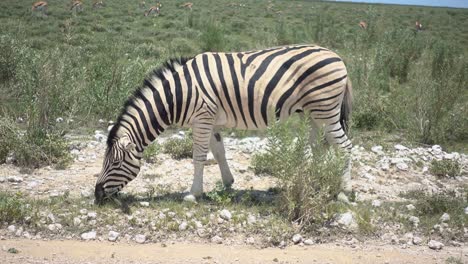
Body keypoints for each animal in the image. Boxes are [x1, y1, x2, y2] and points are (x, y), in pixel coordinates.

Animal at [94, 43, 352, 204]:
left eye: (115, 163)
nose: (97, 195)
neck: (177, 95)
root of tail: (338, 57)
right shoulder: (210, 120)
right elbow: (218, 151)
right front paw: (228, 182)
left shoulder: (201, 118)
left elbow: (198, 157)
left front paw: (193, 194)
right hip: (314, 114)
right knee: (319, 148)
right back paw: (314, 181)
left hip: (326, 110)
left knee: (345, 147)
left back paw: (344, 192)